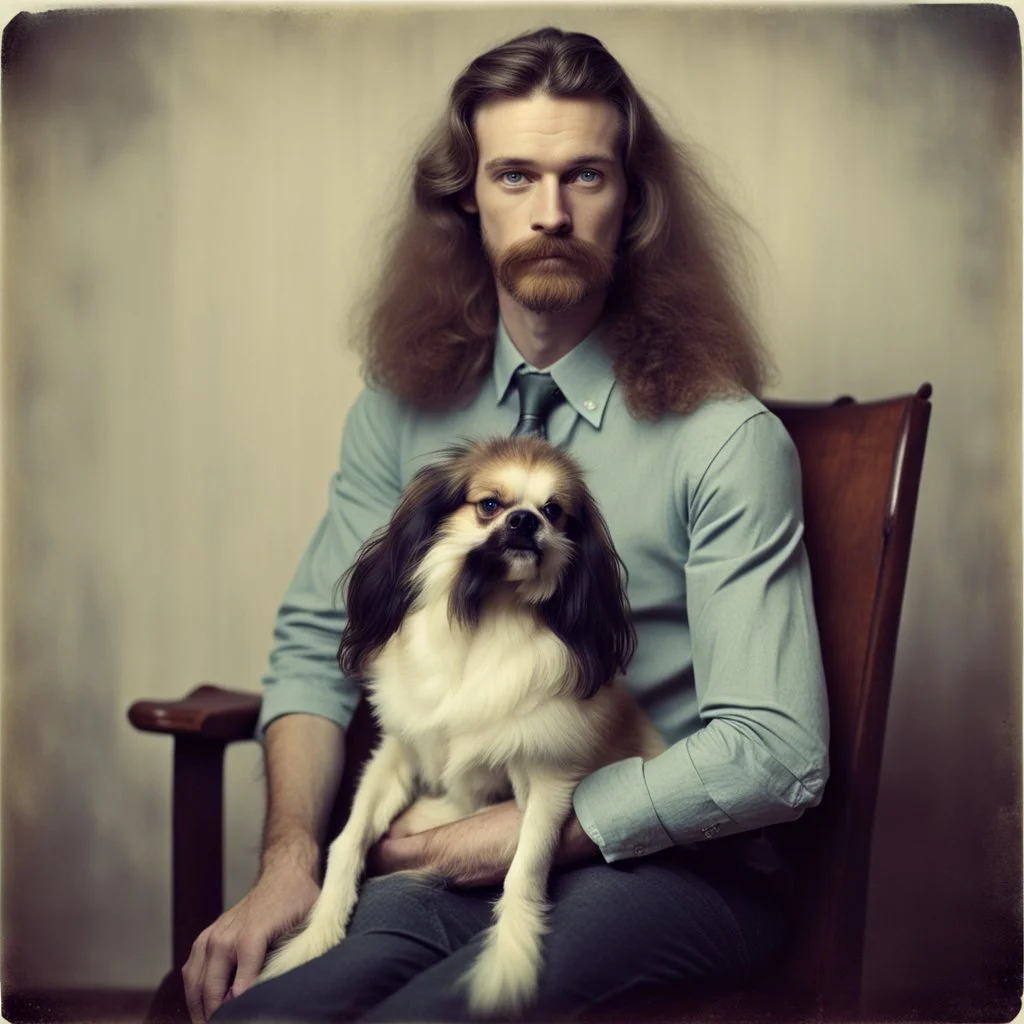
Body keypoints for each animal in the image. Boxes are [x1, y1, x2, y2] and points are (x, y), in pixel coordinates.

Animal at [258, 436, 663, 1011]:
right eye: (489, 505)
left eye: (553, 512)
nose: (524, 521)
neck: (487, 614)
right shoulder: (396, 758)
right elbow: (347, 841)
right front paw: (315, 937)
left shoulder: (547, 781)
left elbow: (525, 869)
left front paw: (509, 958)